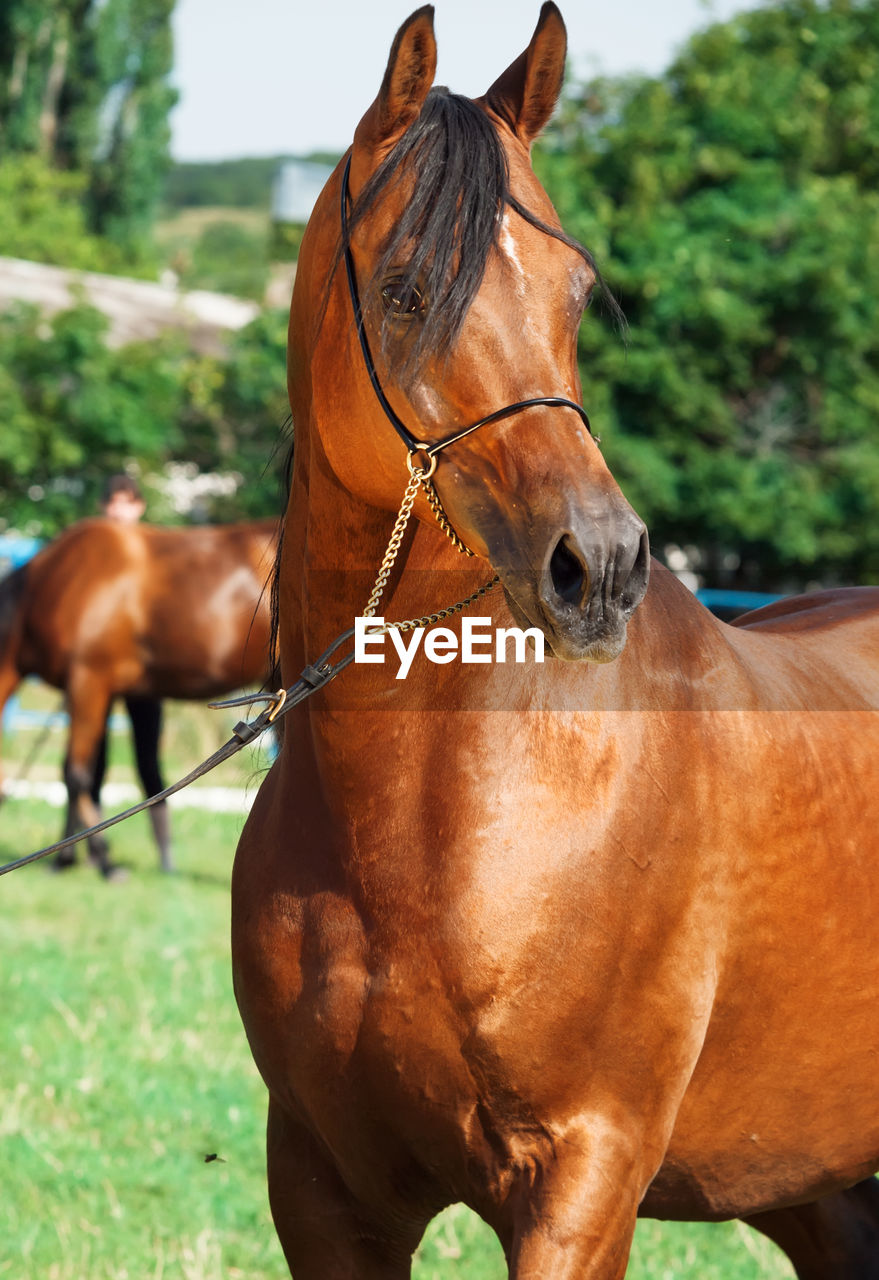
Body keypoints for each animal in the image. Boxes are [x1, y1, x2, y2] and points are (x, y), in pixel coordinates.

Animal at [0, 514, 276, 875]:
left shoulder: (88, 681)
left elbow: (76, 775)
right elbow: (82, 772)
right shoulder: (98, 691)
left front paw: (103, 861)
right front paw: (67, 858)